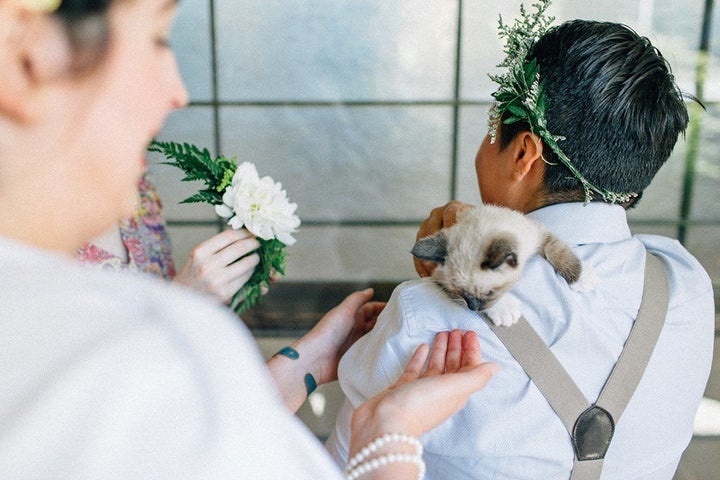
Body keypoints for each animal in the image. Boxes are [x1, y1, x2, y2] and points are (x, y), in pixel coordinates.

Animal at [414, 204, 592, 324]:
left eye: (489, 293)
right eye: (459, 292)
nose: (472, 307)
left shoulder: (537, 234)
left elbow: (555, 250)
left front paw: (582, 278)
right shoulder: (437, 275)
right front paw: (506, 311)